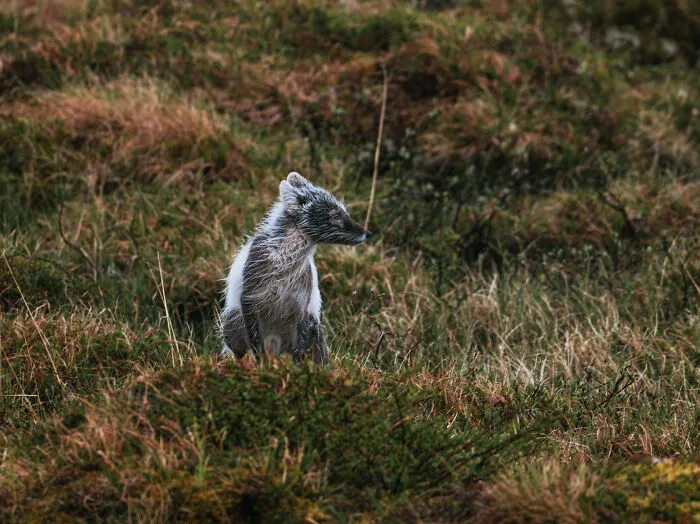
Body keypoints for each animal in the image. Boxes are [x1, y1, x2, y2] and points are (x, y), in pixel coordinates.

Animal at [220, 172, 371, 363]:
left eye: (343, 211)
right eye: (335, 215)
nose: (368, 233)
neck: (284, 264)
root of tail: (275, 346)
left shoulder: (301, 308)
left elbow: (299, 353)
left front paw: (297, 368)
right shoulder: (249, 300)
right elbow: (256, 347)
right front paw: (262, 366)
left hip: (315, 327)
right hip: (231, 321)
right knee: (240, 354)